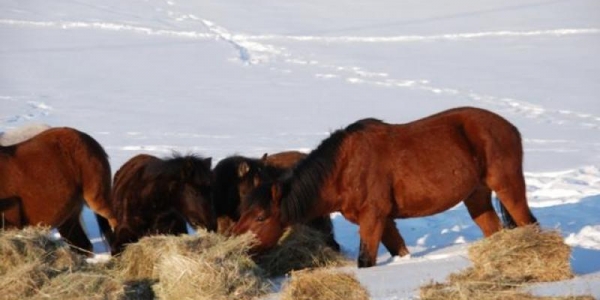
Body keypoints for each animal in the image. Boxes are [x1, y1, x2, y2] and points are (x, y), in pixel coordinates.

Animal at [233, 107, 540, 268]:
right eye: (242, 211)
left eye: (261, 217)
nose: (237, 247)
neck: (344, 168)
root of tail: (510, 127)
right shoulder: (385, 221)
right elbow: (399, 251)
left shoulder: (373, 218)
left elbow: (365, 260)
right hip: (476, 197)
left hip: (508, 187)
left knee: (529, 223)